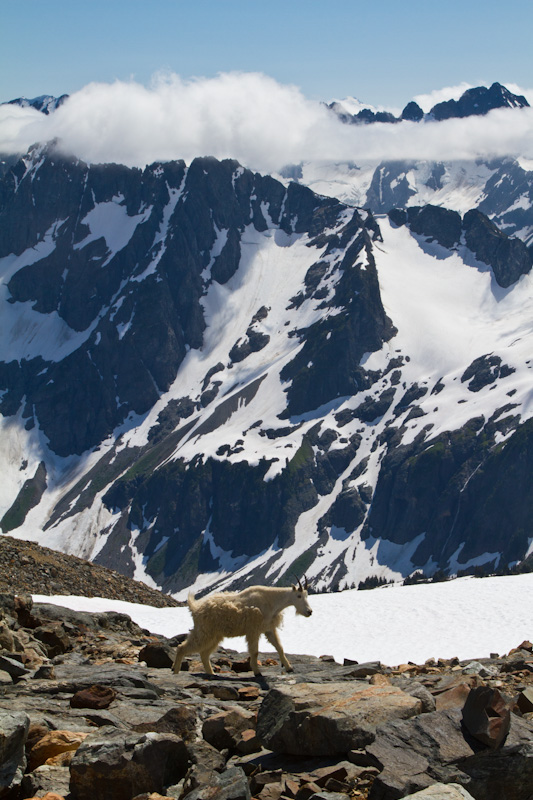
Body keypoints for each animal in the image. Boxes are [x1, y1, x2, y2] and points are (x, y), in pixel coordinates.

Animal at [170, 580, 312, 680]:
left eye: (307, 595)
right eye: (299, 595)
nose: (309, 611)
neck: (272, 601)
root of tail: (195, 608)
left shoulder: (268, 629)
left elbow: (279, 647)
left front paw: (289, 668)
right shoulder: (253, 631)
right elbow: (255, 652)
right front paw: (257, 672)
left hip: (215, 635)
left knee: (204, 654)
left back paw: (212, 674)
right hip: (204, 631)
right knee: (182, 647)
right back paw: (175, 671)